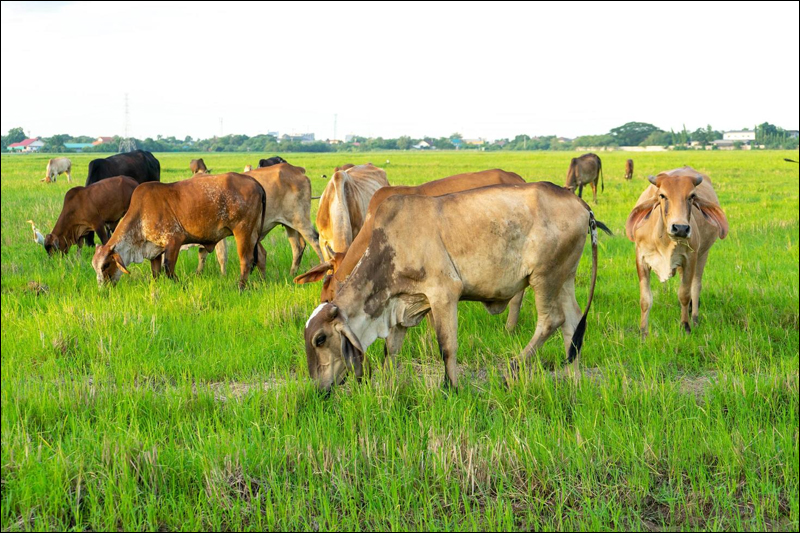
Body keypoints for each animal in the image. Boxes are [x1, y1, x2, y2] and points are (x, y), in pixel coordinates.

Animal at [92, 173, 266, 290]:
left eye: (106, 265)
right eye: (95, 267)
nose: (103, 290)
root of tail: (255, 183)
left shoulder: (174, 240)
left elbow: (168, 268)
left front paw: (183, 285)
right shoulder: (155, 250)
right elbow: (156, 273)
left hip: (243, 231)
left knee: (246, 260)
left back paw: (240, 287)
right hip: (253, 234)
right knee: (261, 256)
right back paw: (263, 281)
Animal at [303, 182, 611, 393]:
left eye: (320, 339)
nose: (318, 389)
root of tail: (581, 204)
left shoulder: (443, 294)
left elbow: (446, 346)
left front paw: (450, 387)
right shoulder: (402, 304)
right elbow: (391, 349)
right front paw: (388, 384)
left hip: (545, 277)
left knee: (552, 320)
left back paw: (510, 370)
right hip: (564, 278)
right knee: (572, 322)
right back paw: (574, 379)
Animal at [625, 166, 728, 338]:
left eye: (692, 196)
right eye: (662, 195)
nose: (680, 228)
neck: (664, 242)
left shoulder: (690, 258)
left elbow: (684, 294)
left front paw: (685, 326)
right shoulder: (641, 258)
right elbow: (645, 299)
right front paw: (643, 332)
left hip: (702, 254)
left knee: (695, 286)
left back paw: (695, 318)